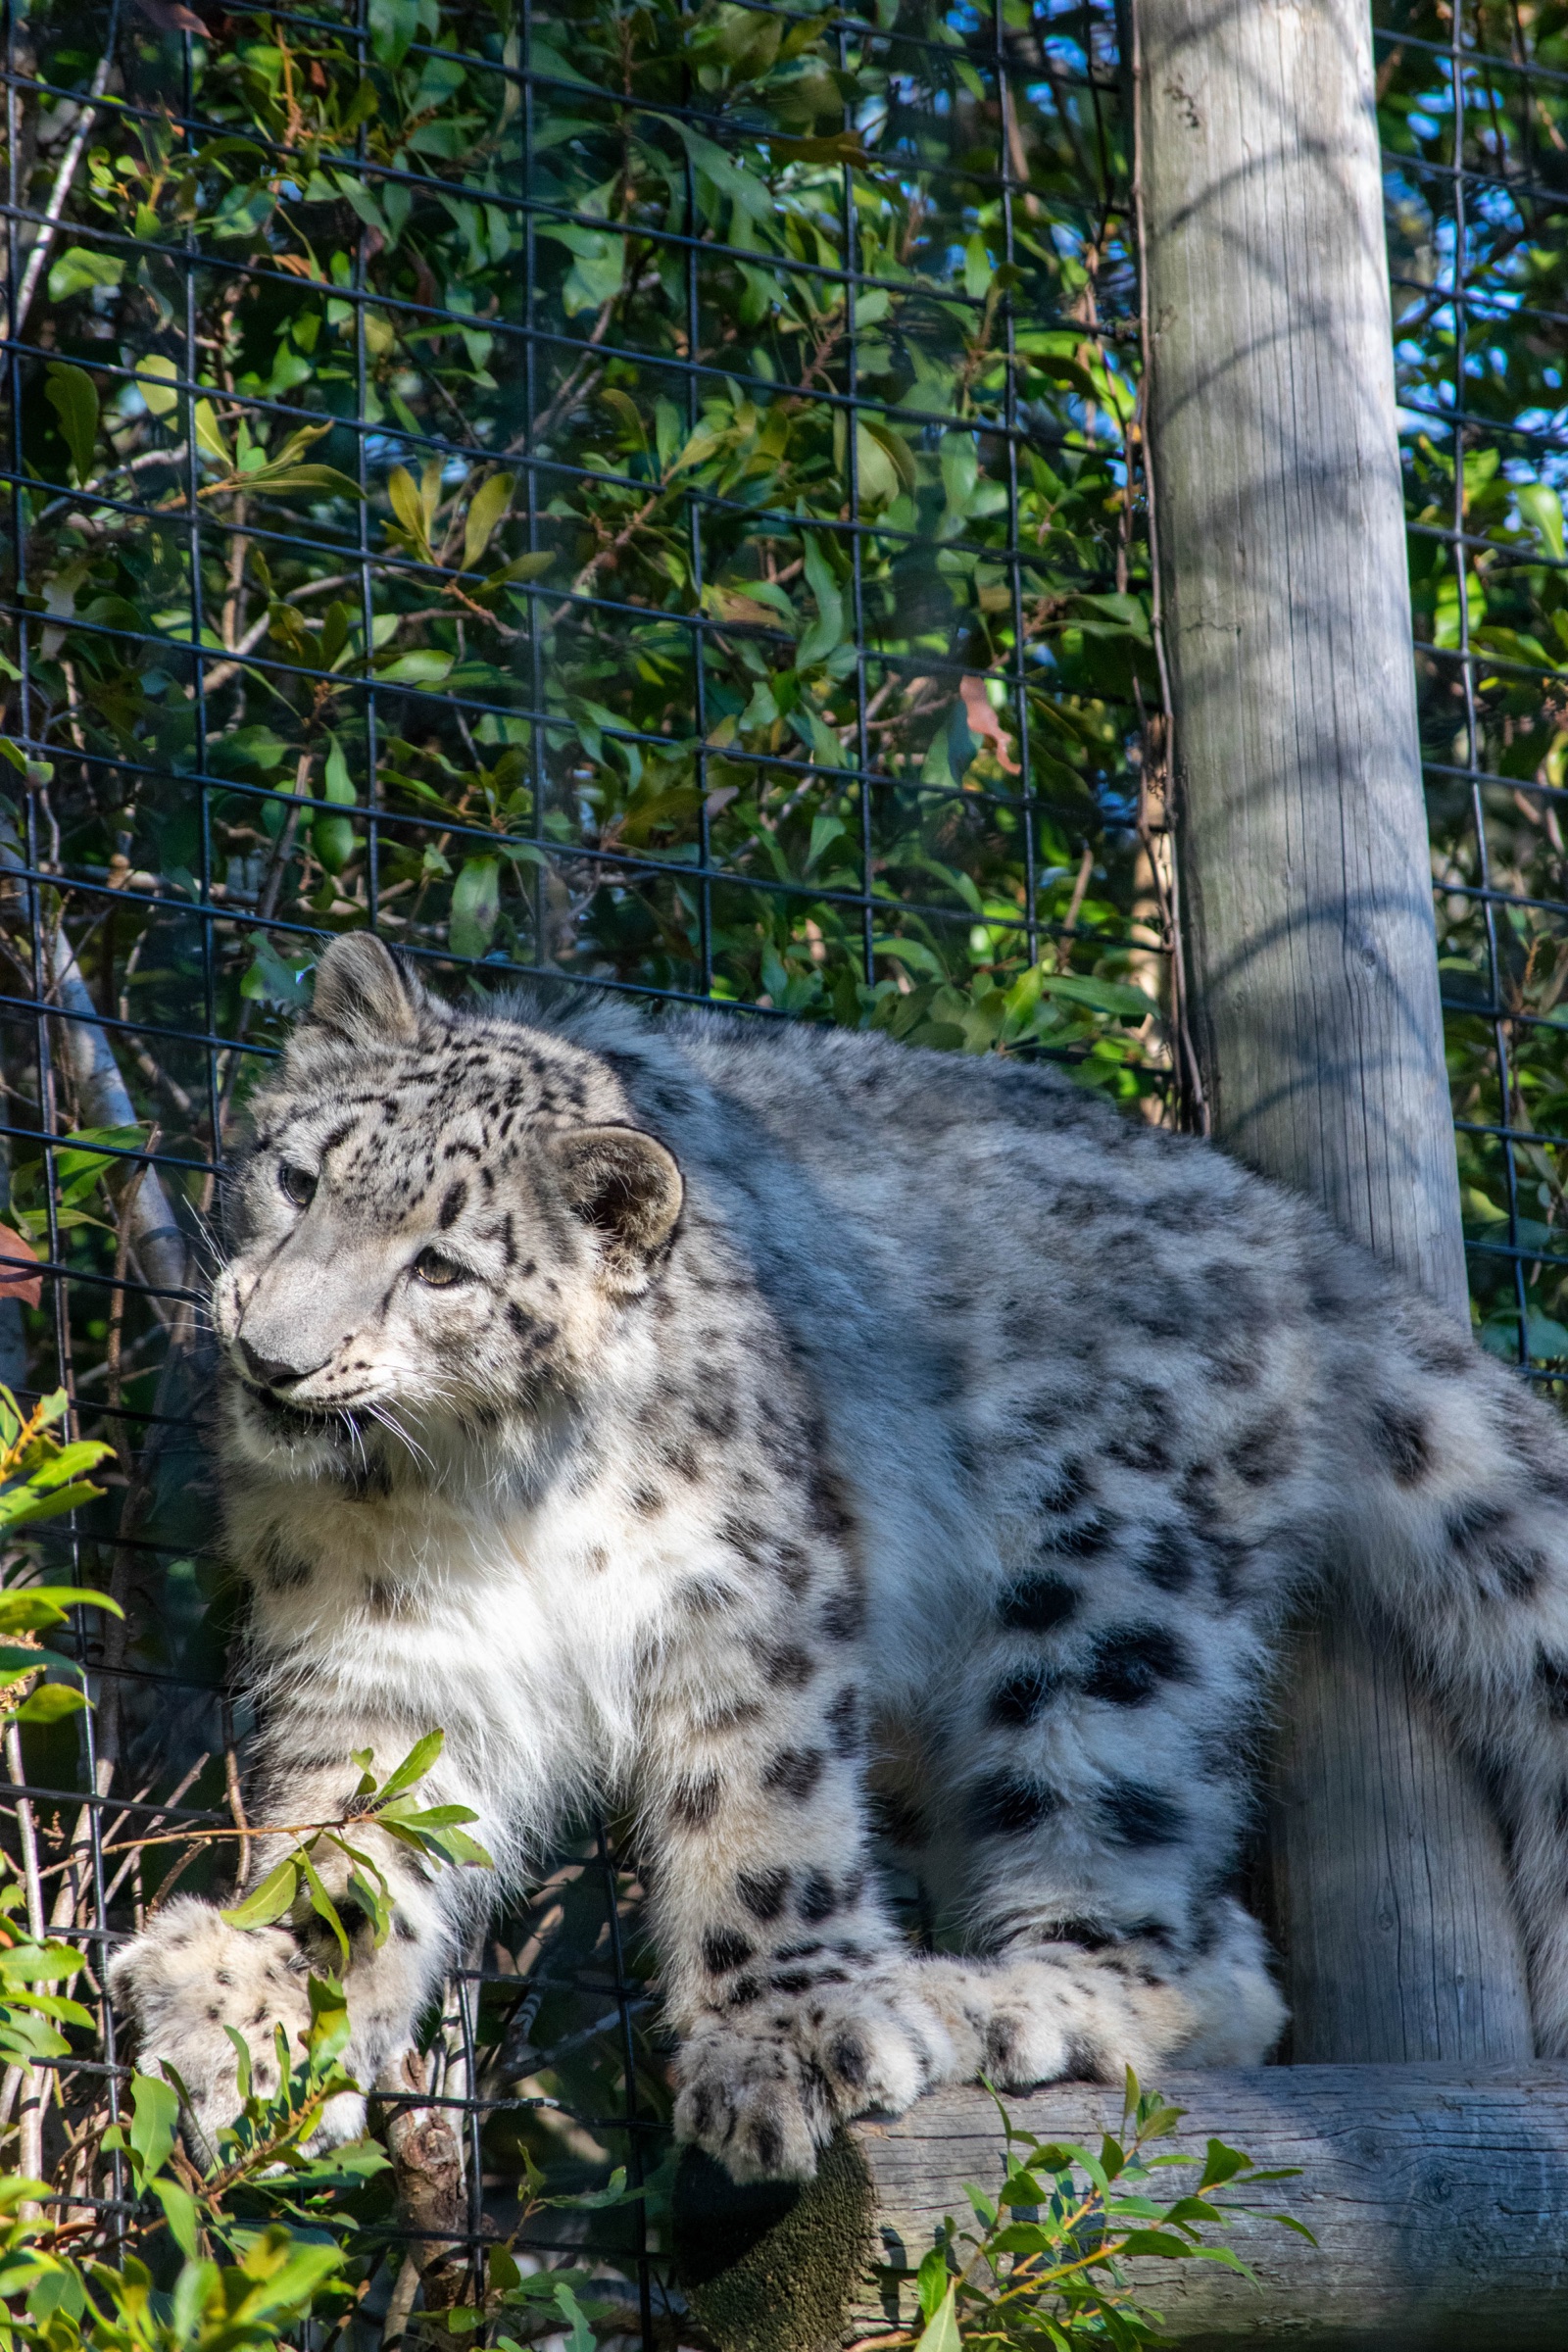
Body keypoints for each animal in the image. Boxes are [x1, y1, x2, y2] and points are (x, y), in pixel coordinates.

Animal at [110, 931, 1568, 2183]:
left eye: (442, 1269)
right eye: (300, 1180)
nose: (274, 1353)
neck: (481, 1489)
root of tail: (1283, 1224)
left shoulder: (745, 1593)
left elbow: (765, 1815)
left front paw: (792, 2032)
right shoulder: (389, 1651)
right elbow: (353, 1844)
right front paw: (257, 2010)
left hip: (1105, 1611)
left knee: (1151, 1906)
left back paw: (981, 1999)